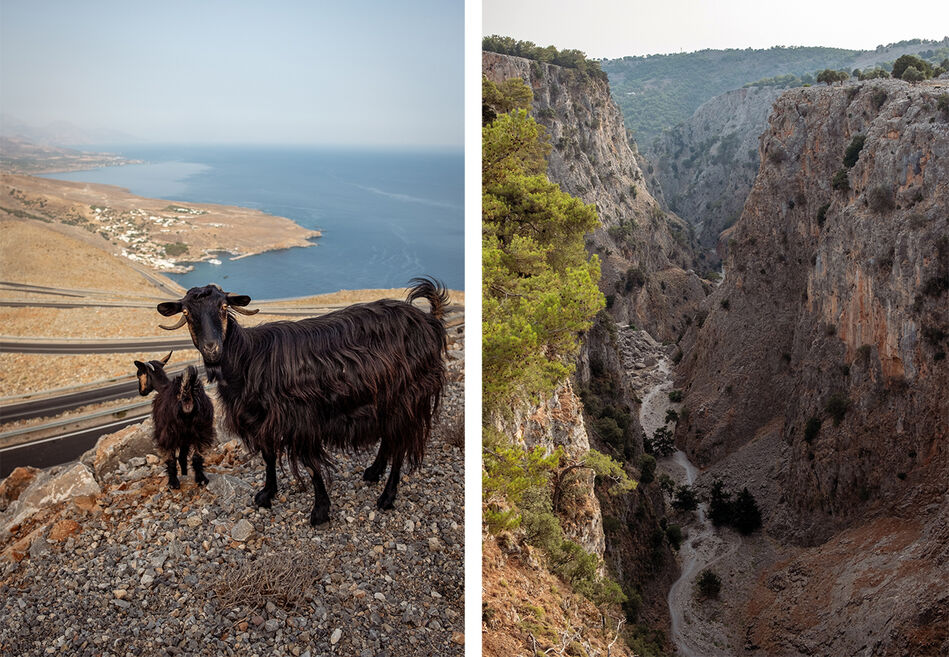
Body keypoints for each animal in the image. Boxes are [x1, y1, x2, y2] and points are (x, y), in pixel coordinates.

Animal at [134, 354, 215, 489]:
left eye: (139, 374)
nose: (141, 391)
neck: (162, 387)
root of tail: (186, 396)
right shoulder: (185, 437)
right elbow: (183, 457)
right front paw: (185, 474)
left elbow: (176, 458)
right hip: (202, 429)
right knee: (197, 456)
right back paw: (201, 479)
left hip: (169, 432)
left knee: (171, 458)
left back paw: (173, 483)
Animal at [155, 278, 448, 526]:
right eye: (186, 313)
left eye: (224, 306)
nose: (212, 348)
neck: (247, 360)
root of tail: (429, 321)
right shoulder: (262, 420)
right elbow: (269, 456)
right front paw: (267, 494)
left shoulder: (302, 420)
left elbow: (311, 464)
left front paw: (320, 511)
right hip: (387, 402)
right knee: (390, 438)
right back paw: (373, 472)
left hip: (408, 397)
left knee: (400, 445)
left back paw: (386, 497)